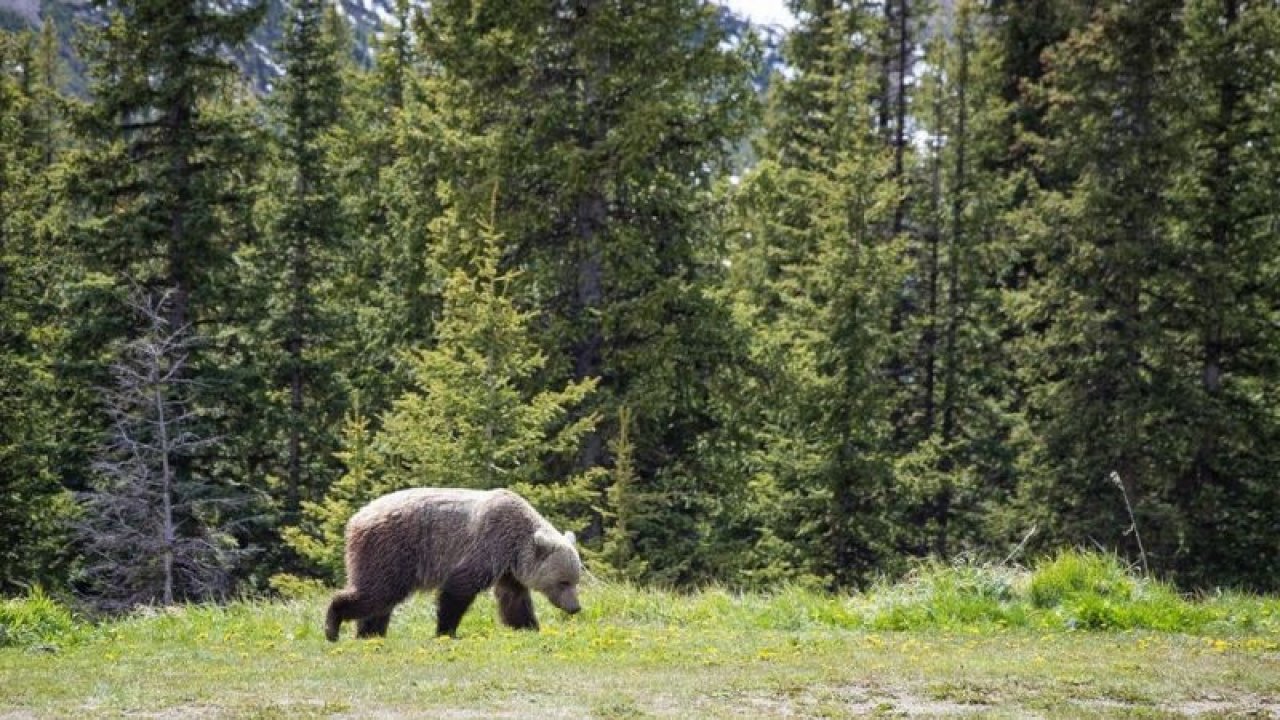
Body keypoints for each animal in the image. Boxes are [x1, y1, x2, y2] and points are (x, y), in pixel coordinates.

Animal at [322, 484, 583, 635]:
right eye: (563, 581)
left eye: (575, 580)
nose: (575, 607)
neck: (515, 545)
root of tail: (355, 518)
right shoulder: (486, 544)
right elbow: (458, 588)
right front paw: (446, 631)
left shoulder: (509, 568)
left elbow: (513, 598)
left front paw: (528, 626)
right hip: (390, 550)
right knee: (377, 592)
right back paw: (334, 624)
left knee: (380, 601)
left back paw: (370, 633)